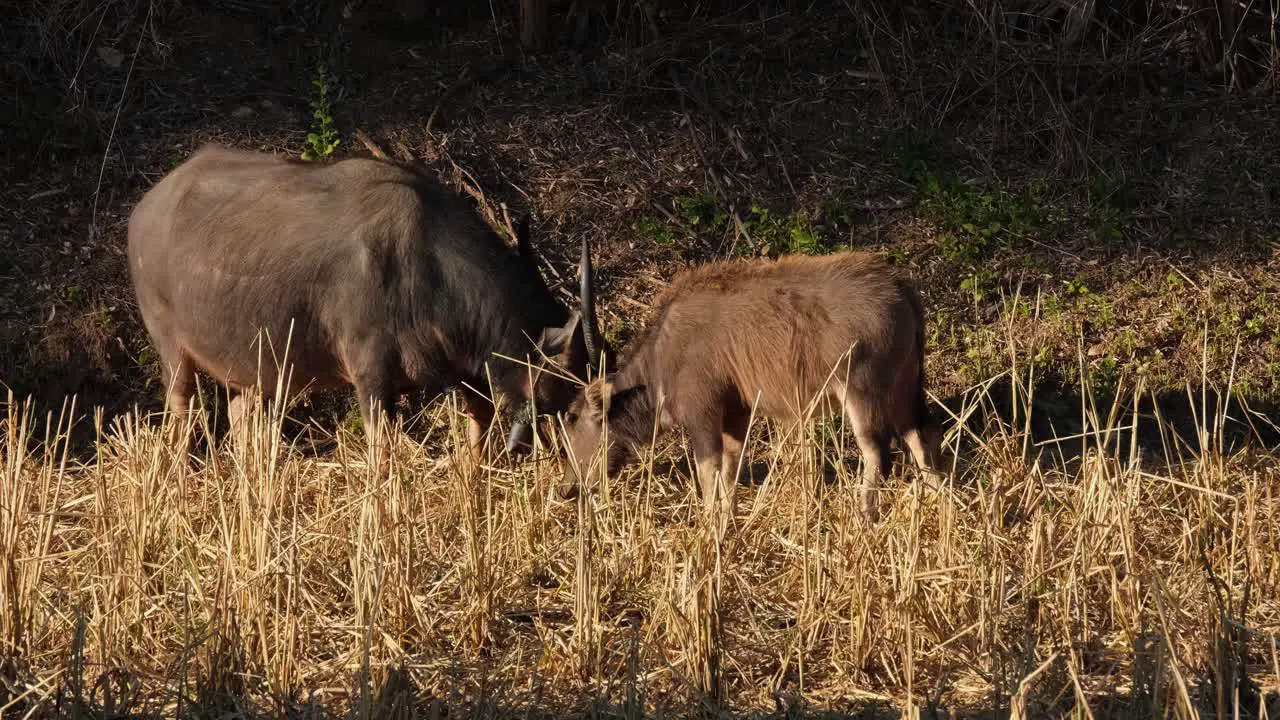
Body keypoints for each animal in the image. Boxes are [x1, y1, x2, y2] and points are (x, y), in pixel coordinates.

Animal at [127, 142, 606, 453]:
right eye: (568, 395)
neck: (425, 267)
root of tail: (146, 207)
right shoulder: (371, 377)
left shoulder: (465, 375)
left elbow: (478, 435)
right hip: (172, 350)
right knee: (182, 412)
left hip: (258, 368)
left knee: (242, 415)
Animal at [558, 249, 942, 517]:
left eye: (573, 417)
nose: (567, 488)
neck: (660, 357)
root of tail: (900, 288)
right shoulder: (736, 416)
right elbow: (730, 469)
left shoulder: (703, 418)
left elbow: (709, 473)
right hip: (902, 393)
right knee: (920, 438)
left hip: (861, 394)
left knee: (876, 451)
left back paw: (865, 515)